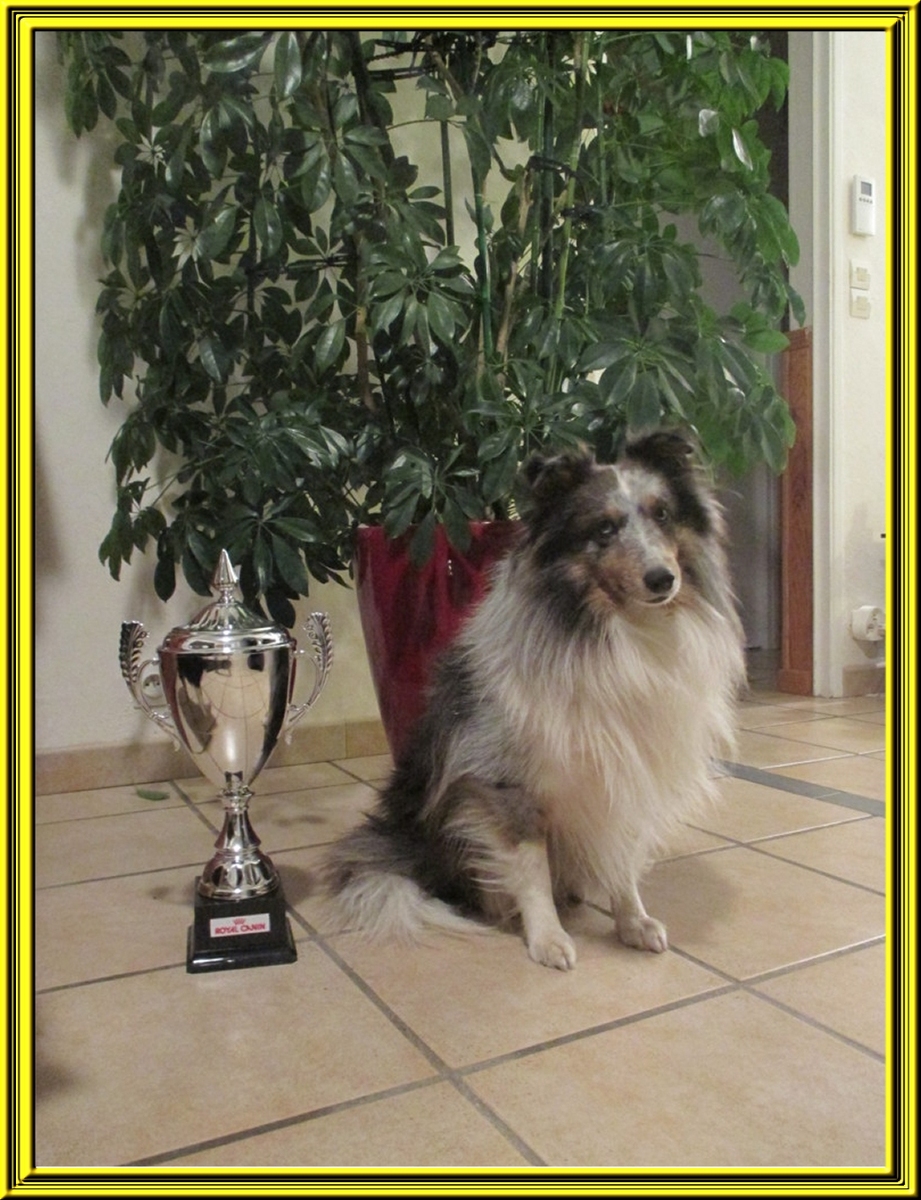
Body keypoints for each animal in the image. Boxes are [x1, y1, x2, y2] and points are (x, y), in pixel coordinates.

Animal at [326, 432, 748, 964]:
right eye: (604, 528)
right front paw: (548, 939)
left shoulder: (628, 775)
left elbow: (623, 860)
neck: (620, 634)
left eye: (664, 515)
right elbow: (531, 869)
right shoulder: (507, 786)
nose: (661, 580)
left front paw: (633, 923)